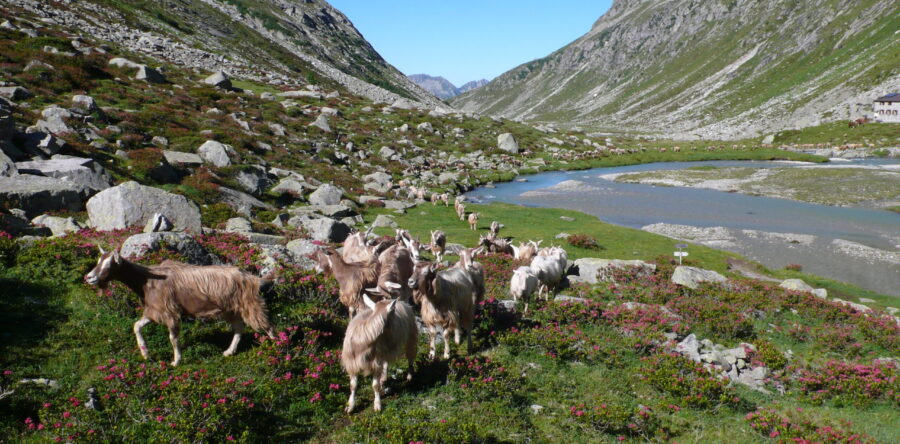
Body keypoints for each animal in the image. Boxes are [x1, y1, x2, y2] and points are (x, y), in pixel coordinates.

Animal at [84, 248, 275, 366]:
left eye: (109, 264)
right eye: (98, 261)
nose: (89, 277)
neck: (147, 280)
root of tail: (251, 278)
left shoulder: (170, 312)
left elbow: (173, 338)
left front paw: (176, 361)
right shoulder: (154, 311)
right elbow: (136, 326)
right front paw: (145, 353)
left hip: (250, 303)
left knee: (268, 325)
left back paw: (277, 348)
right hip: (230, 309)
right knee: (239, 328)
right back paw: (229, 351)